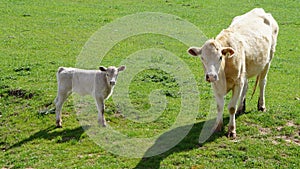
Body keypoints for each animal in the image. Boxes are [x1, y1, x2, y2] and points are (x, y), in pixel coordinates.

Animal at [188, 7, 278, 138]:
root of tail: (260, 10)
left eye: (220, 57)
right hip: (245, 71)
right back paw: (241, 107)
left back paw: (261, 105)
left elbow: (231, 107)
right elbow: (219, 106)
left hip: (268, 60)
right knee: (246, 86)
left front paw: (231, 130)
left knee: (262, 82)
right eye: (202, 58)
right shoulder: (216, 85)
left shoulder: (237, 83)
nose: (211, 76)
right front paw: (217, 126)